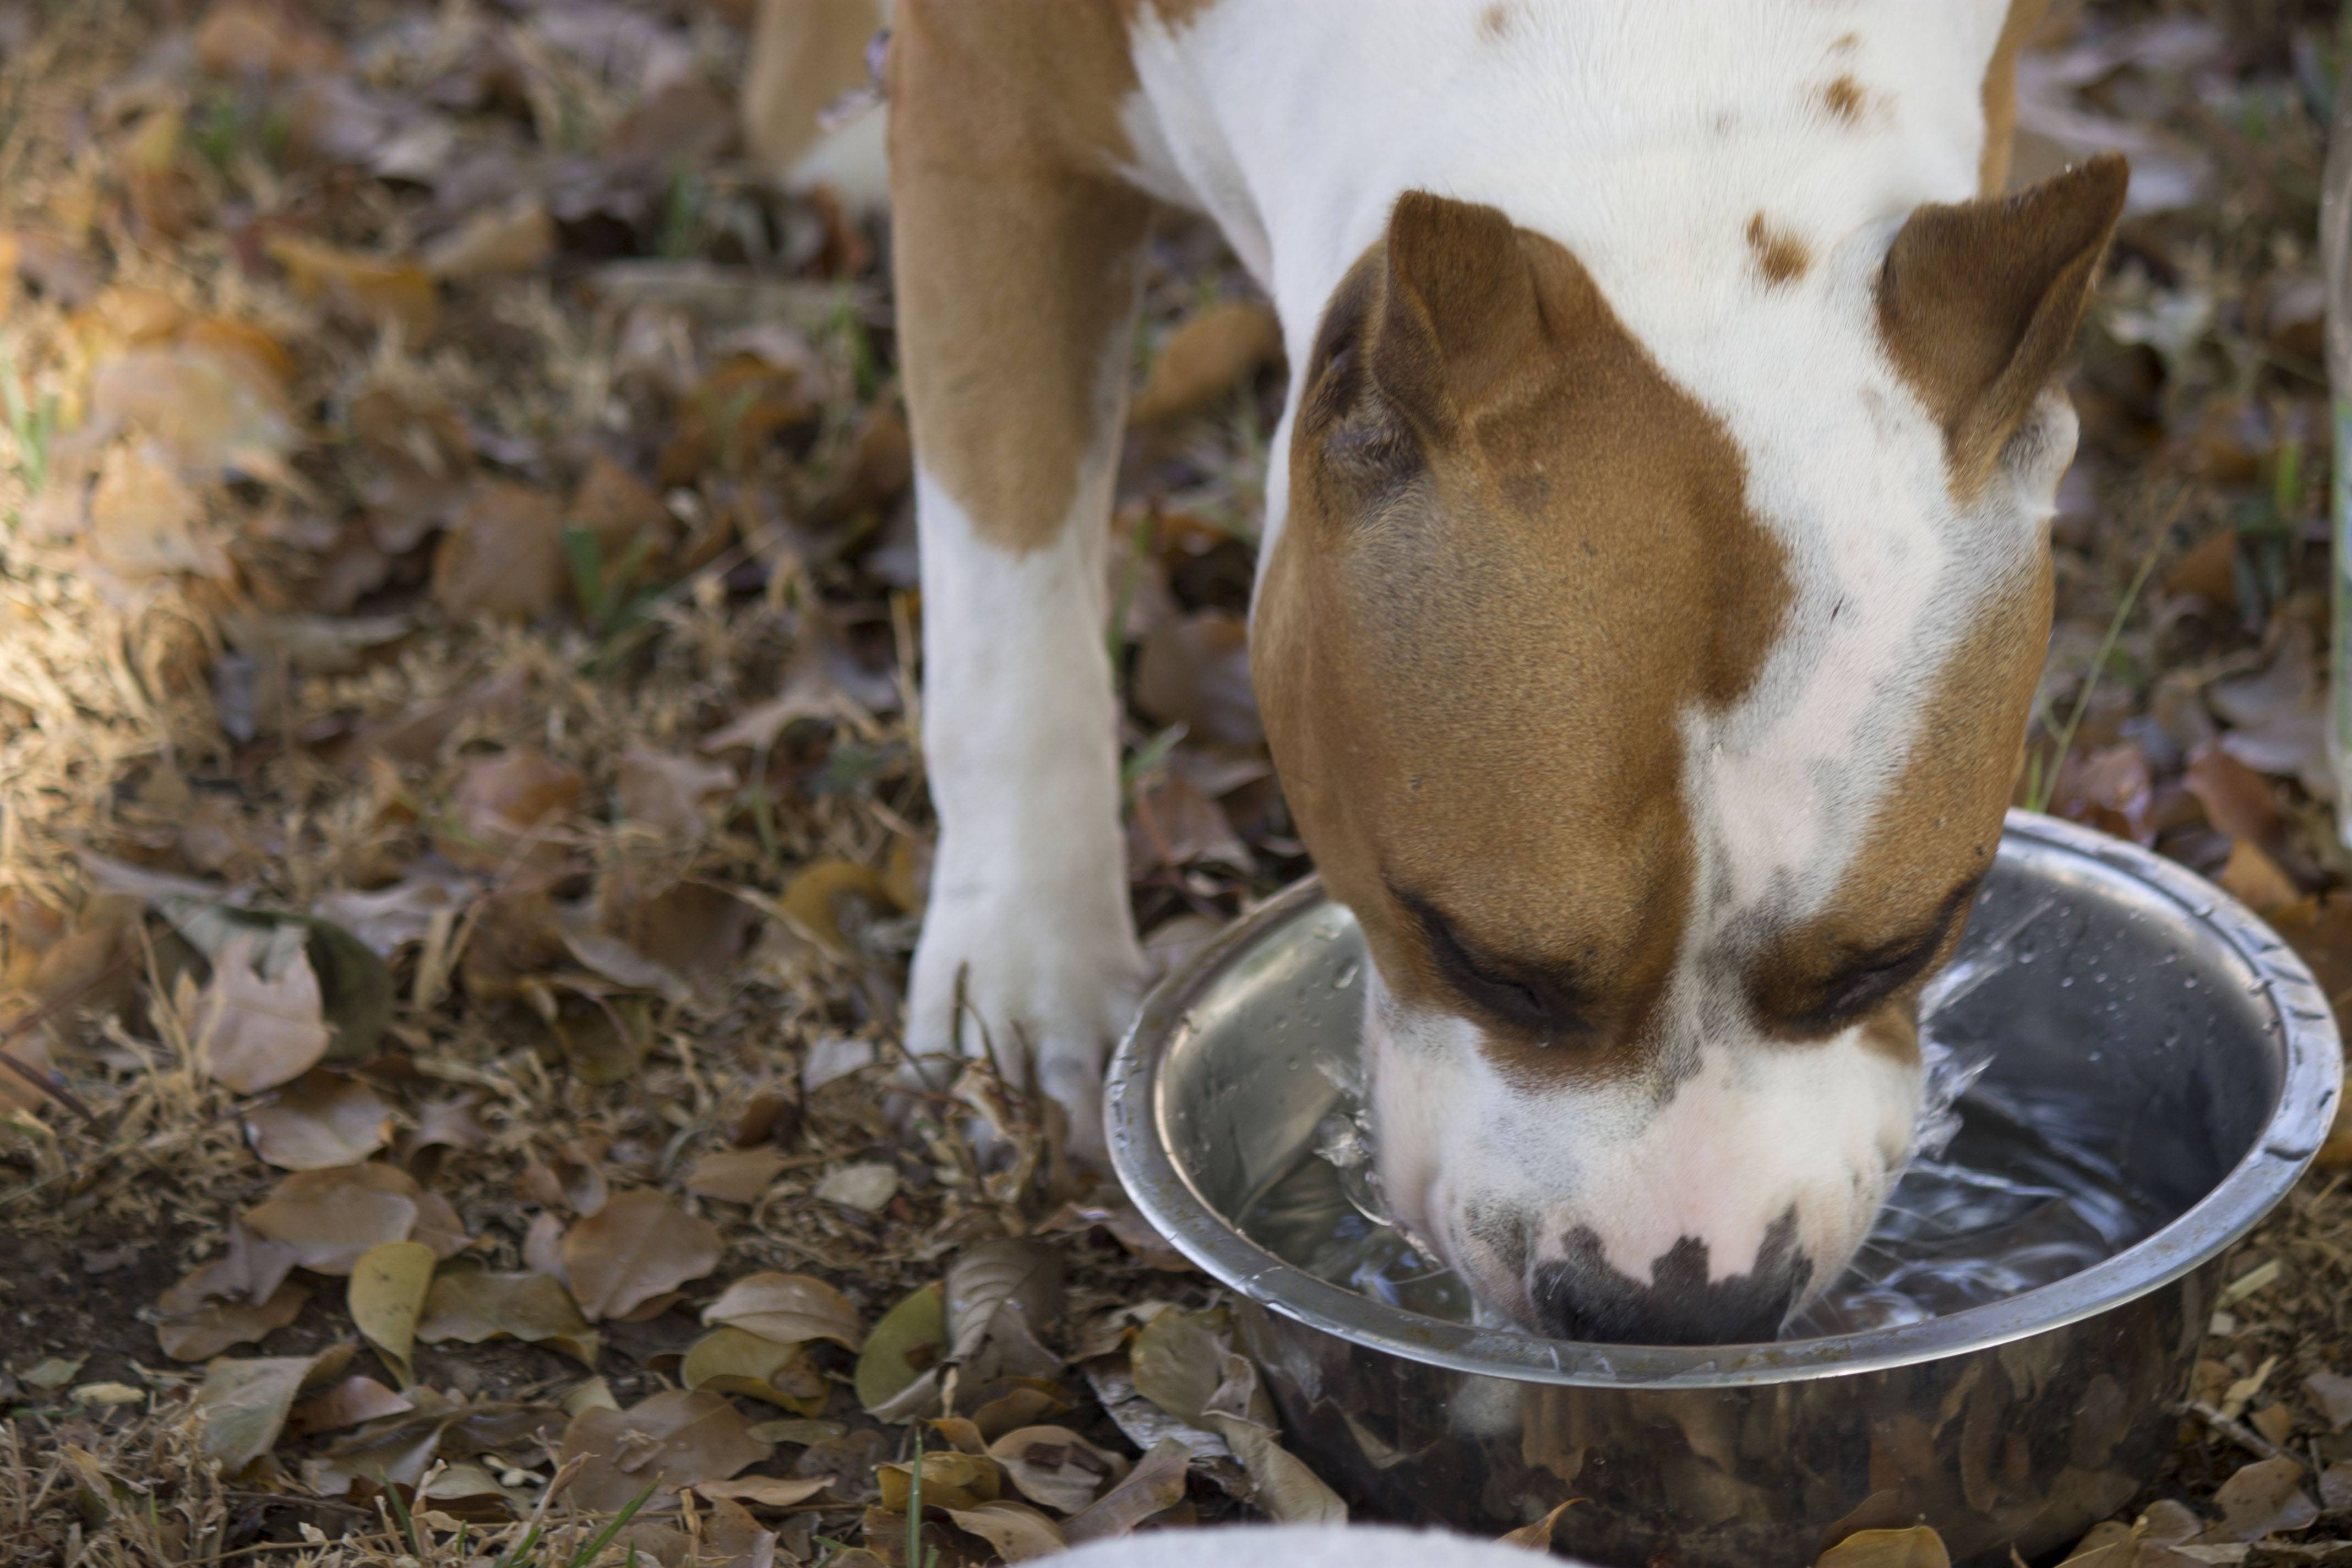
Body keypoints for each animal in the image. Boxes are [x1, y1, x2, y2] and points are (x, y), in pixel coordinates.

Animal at [771, 0, 2135, 1354]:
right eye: (1483, 962)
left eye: (1895, 955)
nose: (1679, 1307)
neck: (1658, 73)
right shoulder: (986, 123)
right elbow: (1007, 599)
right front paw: (1025, 973)